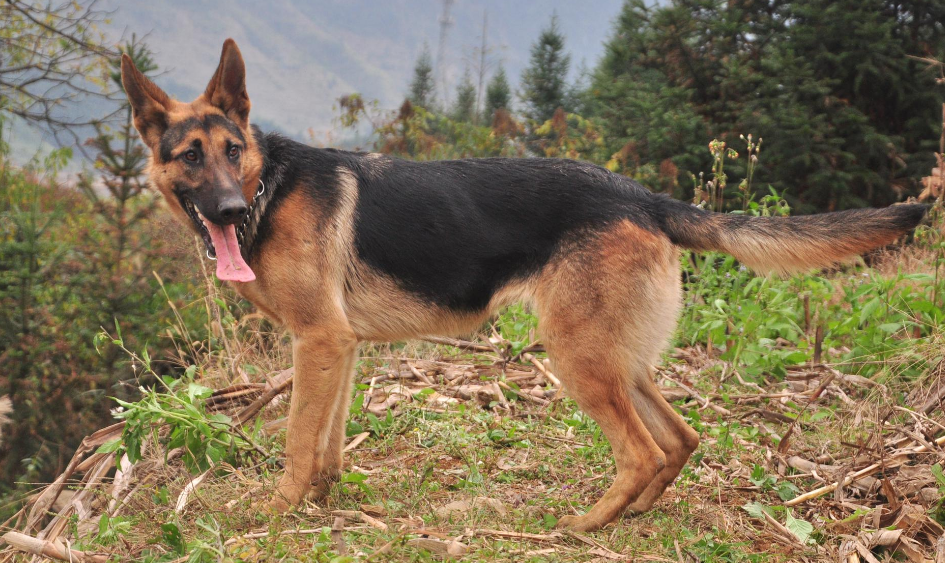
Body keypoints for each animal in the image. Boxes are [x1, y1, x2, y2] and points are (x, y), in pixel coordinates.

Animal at [121, 40, 924, 532]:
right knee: (681, 437)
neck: (270, 186)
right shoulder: (339, 345)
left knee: (640, 449)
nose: (230, 210)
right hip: (619, 357)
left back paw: (586, 525)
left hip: (575, 354)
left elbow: (295, 439)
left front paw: (277, 512)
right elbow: (330, 440)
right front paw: (323, 500)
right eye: (190, 157)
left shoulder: (318, 341)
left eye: (234, 151)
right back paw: (633, 513)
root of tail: (643, 197)